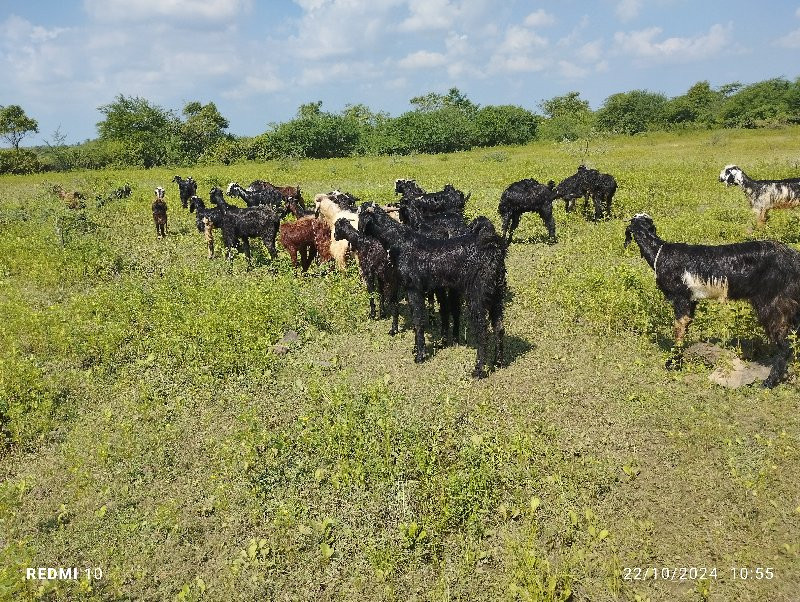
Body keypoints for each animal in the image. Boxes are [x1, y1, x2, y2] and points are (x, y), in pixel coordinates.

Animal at [624, 213, 800, 386]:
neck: (660, 253)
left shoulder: (681, 297)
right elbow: (686, 325)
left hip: (775, 302)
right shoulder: (692, 300)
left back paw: (769, 382)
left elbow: (678, 329)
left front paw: (673, 362)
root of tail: (794, 258)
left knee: (785, 344)